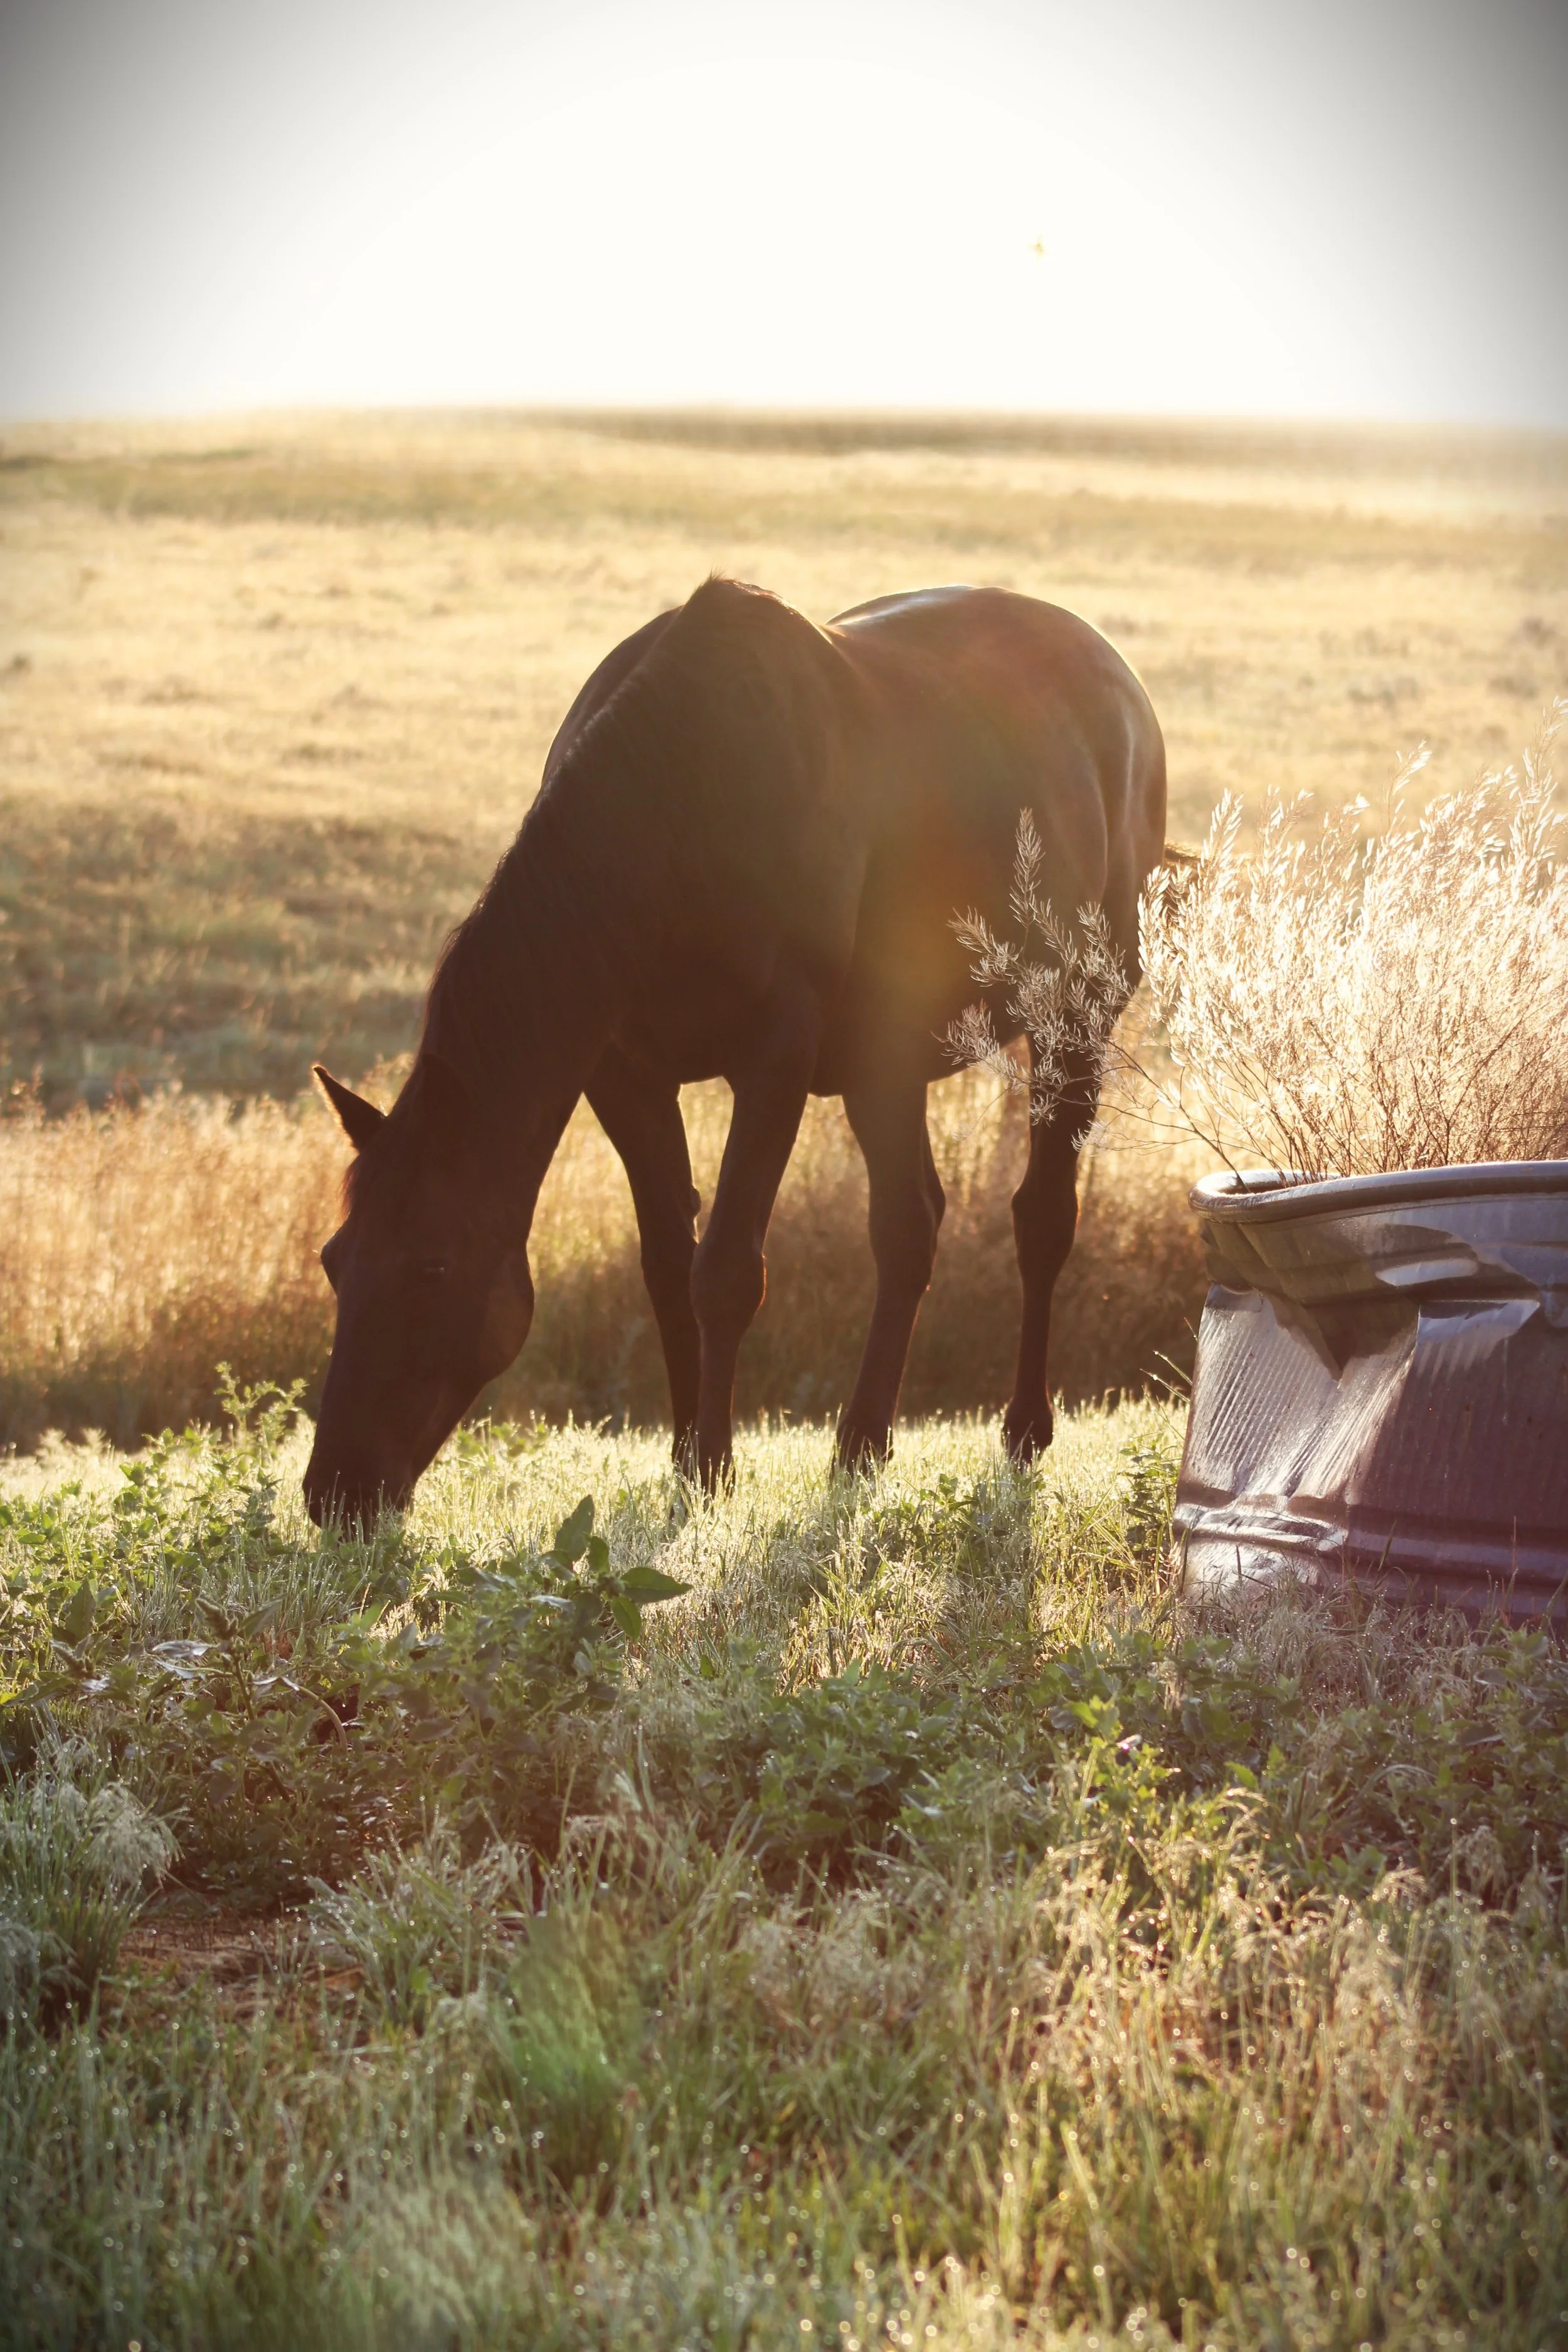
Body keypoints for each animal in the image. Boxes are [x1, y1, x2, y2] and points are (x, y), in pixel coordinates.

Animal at [302, 578, 1167, 1525]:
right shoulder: (626, 1077)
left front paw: (715, 1467)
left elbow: (723, 1270)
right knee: (909, 1226)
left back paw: (1022, 1431)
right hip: (884, 1063)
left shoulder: (775, 1056)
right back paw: (861, 1446)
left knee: (1040, 1219)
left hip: (1075, 1015)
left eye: (432, 1267)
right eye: (335, 1262)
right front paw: (688, 1457)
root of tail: (1119, 683)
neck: (678, 806)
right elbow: (665, 1266)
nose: (337, 1490)